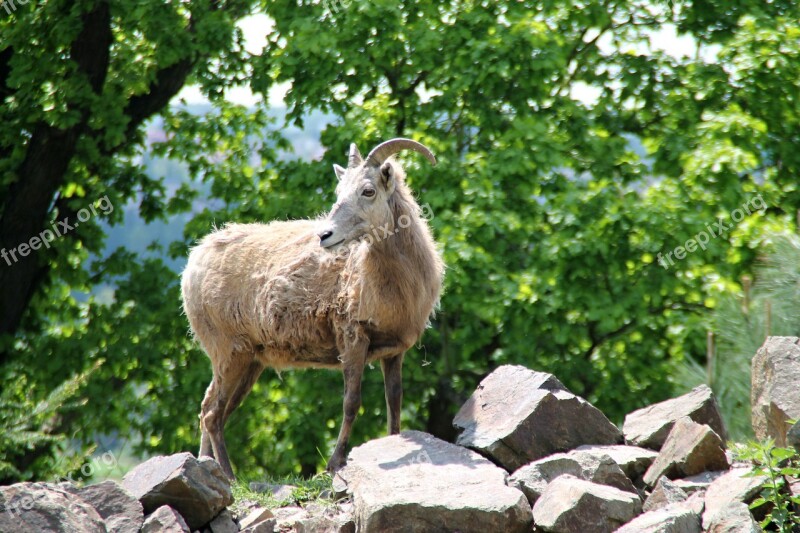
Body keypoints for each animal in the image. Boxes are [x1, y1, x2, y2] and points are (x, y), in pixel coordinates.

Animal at [180, 137, 444, 478]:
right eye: (338, 191)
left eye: (368, 190)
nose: (325, 236)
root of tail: (193, 265)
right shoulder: (352, 339)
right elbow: (351, 402)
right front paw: (334, 463)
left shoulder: (394, 351)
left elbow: (394, 402)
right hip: (229, 352)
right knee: (213, 414)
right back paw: (229, 476)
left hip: (248, 361)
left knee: (210, 408)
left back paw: (206, 466)